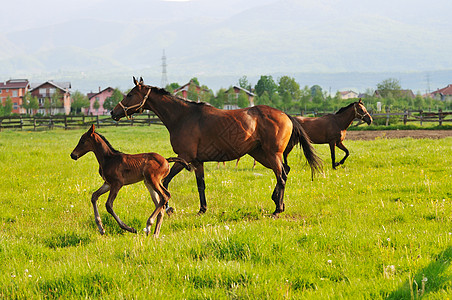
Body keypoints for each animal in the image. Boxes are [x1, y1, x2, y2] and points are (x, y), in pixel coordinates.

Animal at [110, 77, 322, 218]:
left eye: (130, 94)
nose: (113, 112)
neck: (182, 116)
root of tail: (286, 115)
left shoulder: (184, 158)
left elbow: (166, 182)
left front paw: (168, 208)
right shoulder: (197, 162)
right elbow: (200, 185)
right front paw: (202, 209)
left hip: (271, 154)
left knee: (282, 176)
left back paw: (277, 209)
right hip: (261, 154)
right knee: (284, 172)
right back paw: (278, 201)